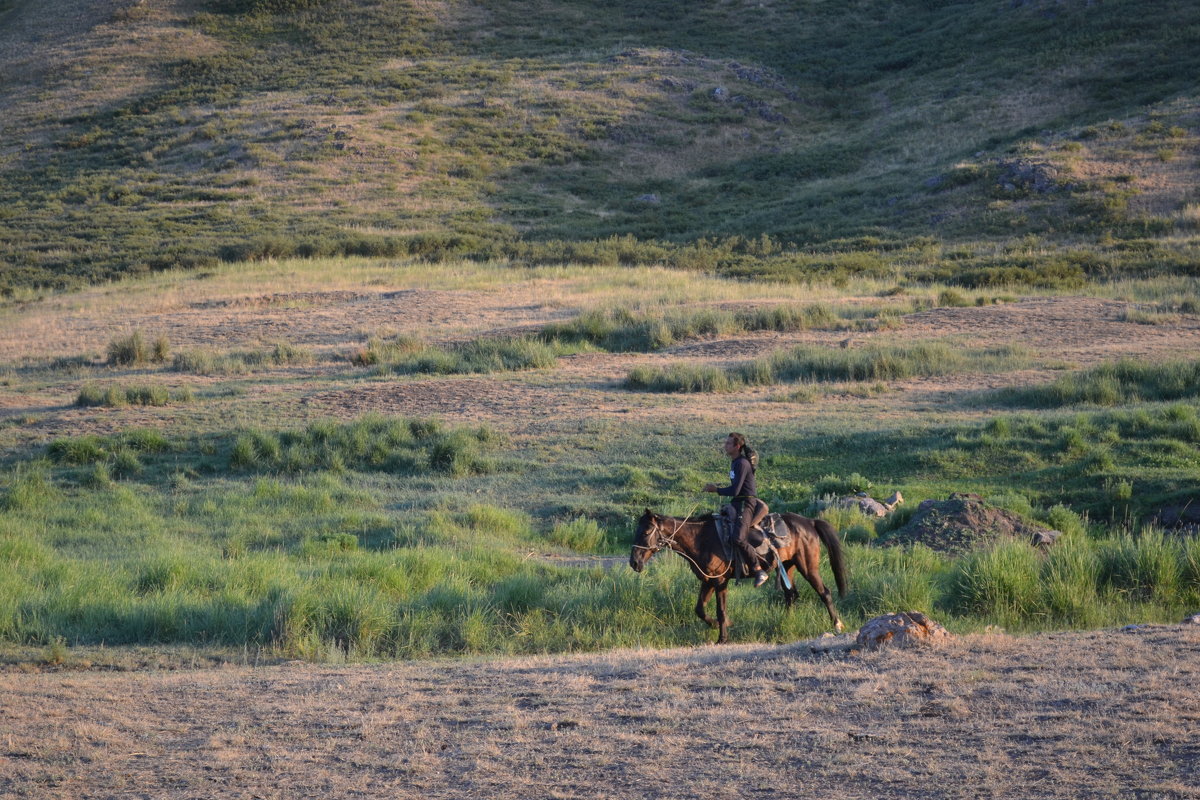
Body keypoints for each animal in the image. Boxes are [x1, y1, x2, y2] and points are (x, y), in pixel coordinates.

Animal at [628, 510, 844, 647]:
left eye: (646, 531)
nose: (634, 562)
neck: (701, 538)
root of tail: (809, 522)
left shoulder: (720, 581)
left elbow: (721, 610)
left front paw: (722, 637)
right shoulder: (708, 580)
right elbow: (699, 609)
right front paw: (717, 625)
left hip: (808, 566)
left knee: (824, 592)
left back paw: (837, 625)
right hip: (787, 566)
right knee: (791, 595)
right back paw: (785, 621)